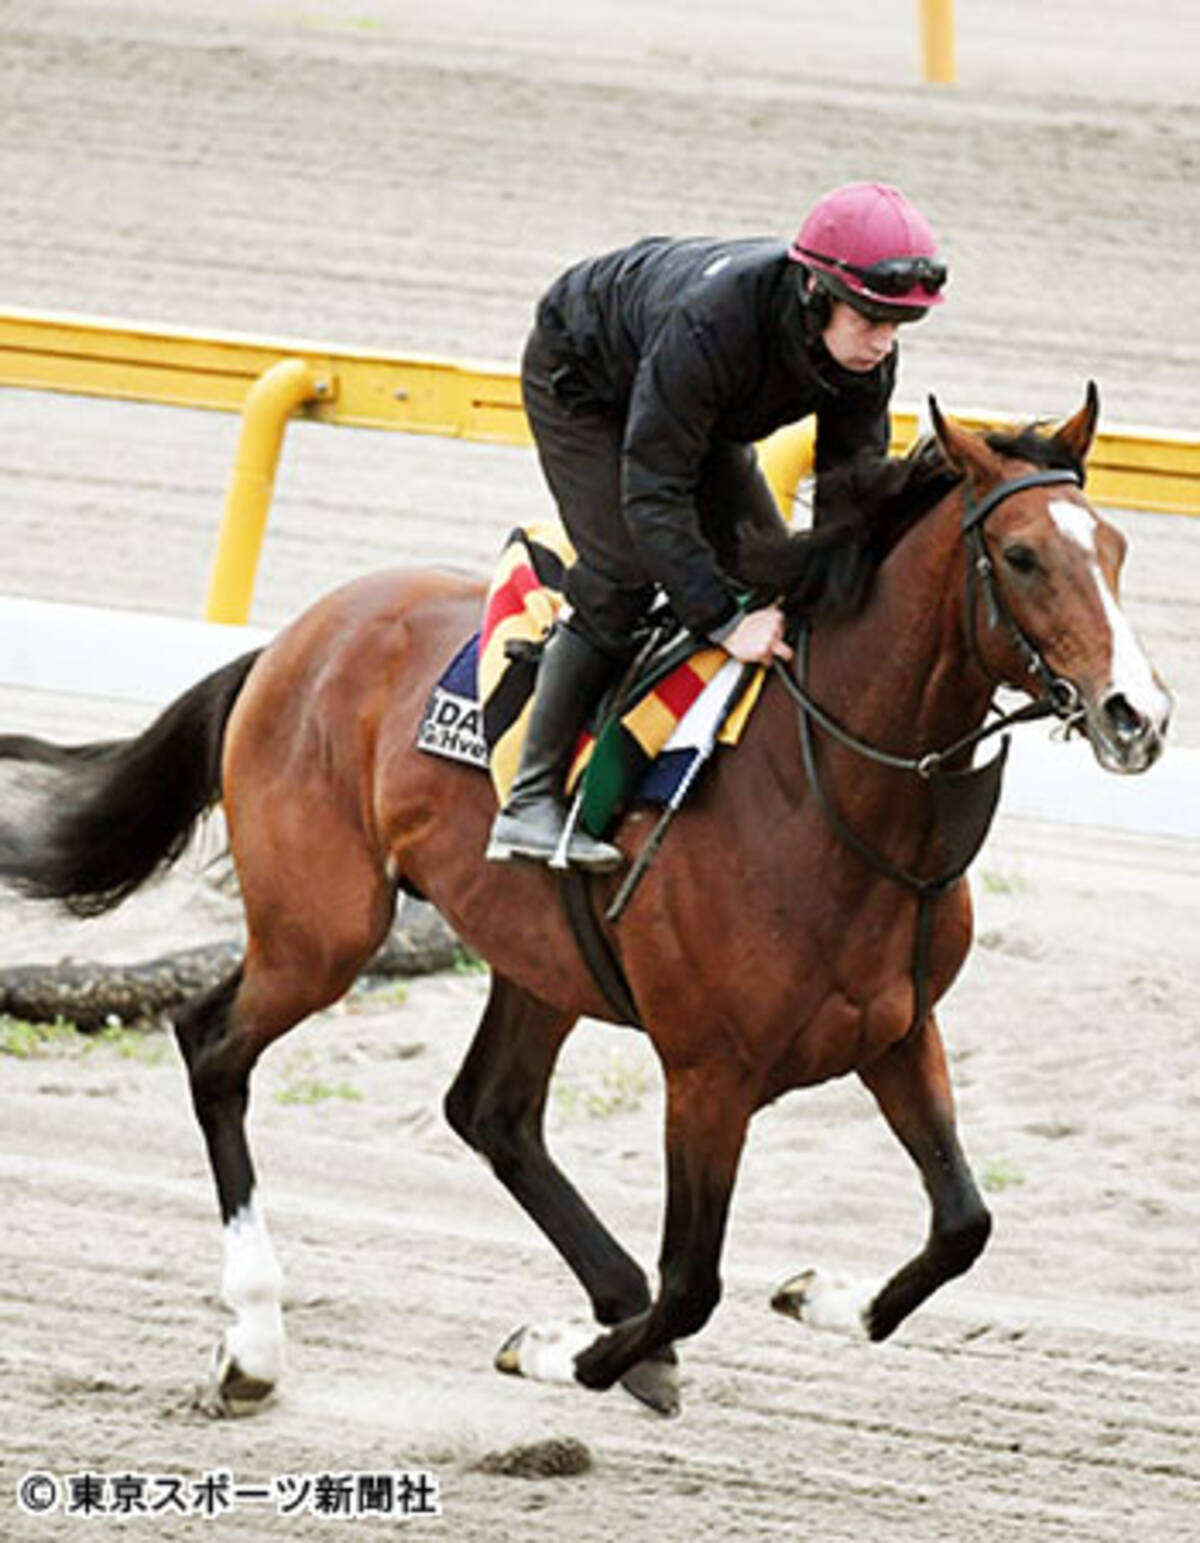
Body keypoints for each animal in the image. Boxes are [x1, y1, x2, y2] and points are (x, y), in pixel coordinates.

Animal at [0, 387, 1171, 1417]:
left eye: (1117, 548)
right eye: (1021, 556)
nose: (1138, 715)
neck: (833, 797)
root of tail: (291, 642)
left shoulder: (895, 1028)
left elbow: (963, 1223)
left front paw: (812, 1295)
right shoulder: (706, 1072)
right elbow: (694, 1284)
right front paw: (557, 1351)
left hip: (535, 954)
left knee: (492, 1110)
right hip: (321, 929)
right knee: (213, 1048)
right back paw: (253, 1341)